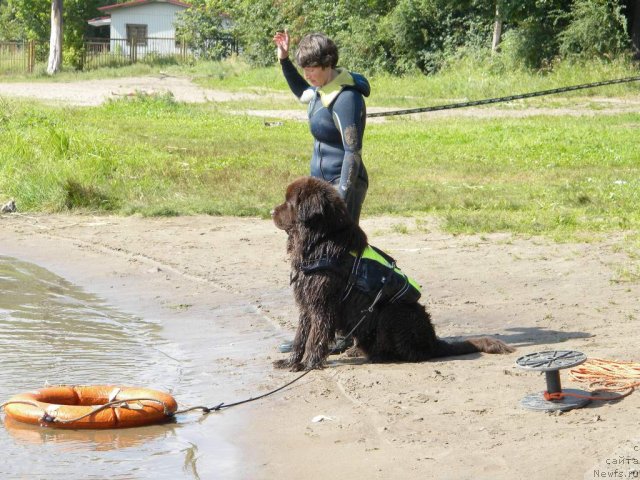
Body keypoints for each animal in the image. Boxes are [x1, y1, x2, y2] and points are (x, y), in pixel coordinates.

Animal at [272, 177, 516, 372]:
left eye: (289, 203)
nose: (271, 212)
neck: (320, 241)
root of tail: (433, 341)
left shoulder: (322, 304)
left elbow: (315, 337)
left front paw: (307, 364)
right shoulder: (307, 303)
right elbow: (300, 337)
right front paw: (291, 361)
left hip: (393, 311)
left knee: (413, 353)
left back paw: (380, 356)